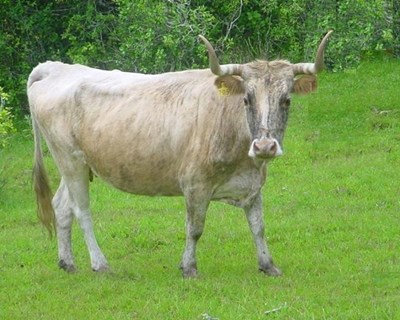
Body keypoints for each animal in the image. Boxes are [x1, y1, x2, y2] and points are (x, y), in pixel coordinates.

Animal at [28, 30, 332, 278]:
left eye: (286, 100)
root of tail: (55, 68)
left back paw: (67, 263)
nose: (265, 147)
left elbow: (258, 226)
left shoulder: (252, 184)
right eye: (246, 99)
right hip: (70, 160)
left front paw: (268, 265)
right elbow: (194, 228)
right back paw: (100, 264)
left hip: (74, 164)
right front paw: (189, 267)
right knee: (81, 211)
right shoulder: (195, 184)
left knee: (61, 206)